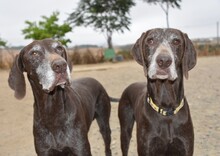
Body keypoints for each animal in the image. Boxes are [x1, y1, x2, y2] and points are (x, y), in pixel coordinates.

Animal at [117, 28, 197, 156]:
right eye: (150, 40)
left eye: (176, 41)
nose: (164, 61)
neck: (166, 109)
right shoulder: (147, 147)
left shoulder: (185, 146)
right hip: (125, 130)